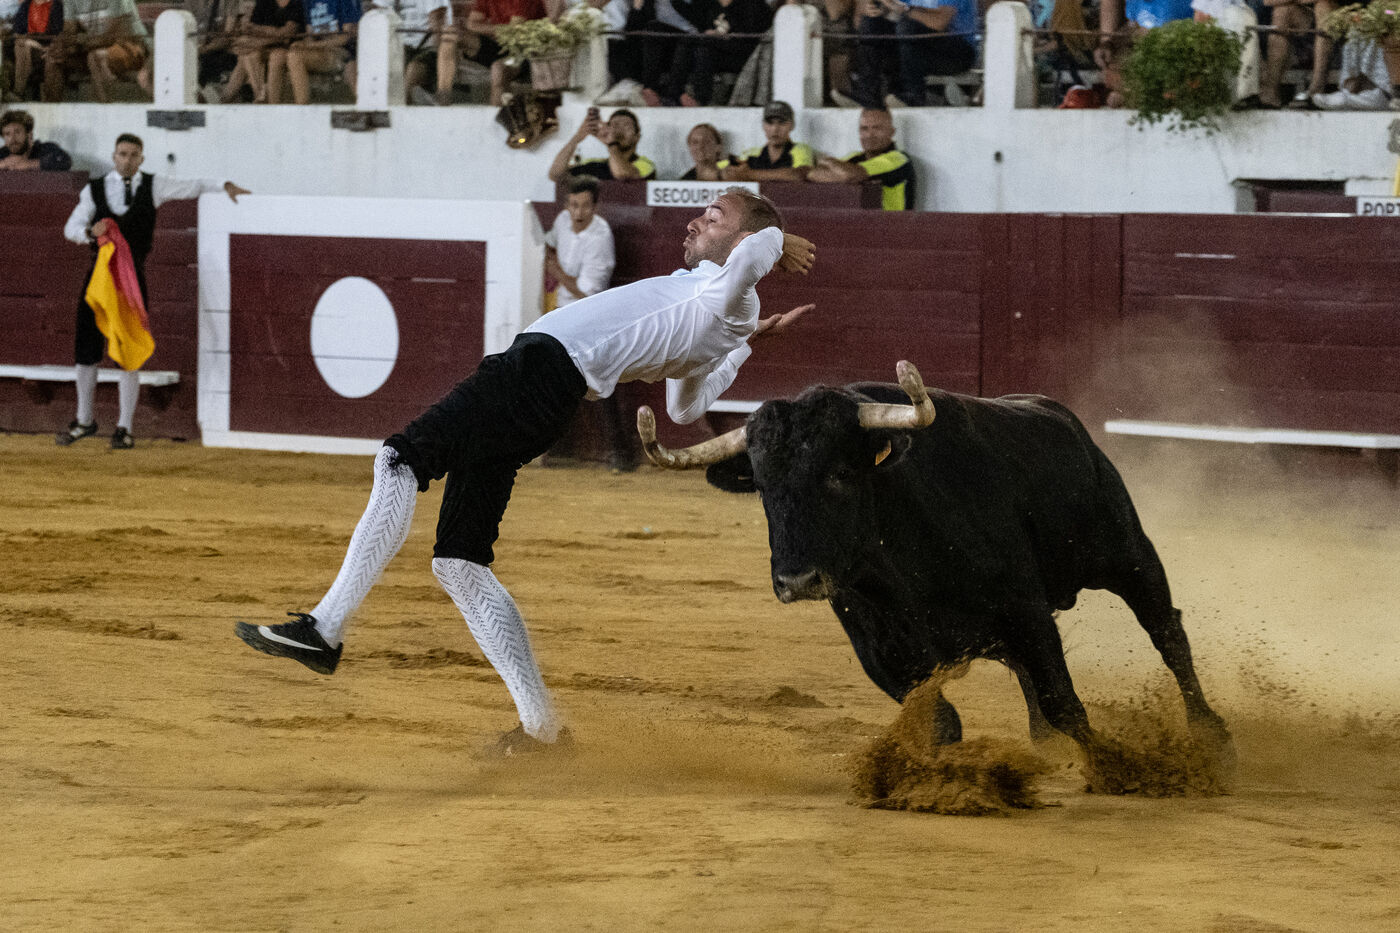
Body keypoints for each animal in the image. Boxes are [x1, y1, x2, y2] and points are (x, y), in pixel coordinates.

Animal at [636, 361, 1233, 767]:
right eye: (761, 485)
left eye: (839, 473)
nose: (795, 580)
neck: (899, 567)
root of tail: (1062, 419)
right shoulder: (879, 650)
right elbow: (941, 719)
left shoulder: (1027, 612)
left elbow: (1065, 701)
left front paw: (1114, 769)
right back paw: (1044, 744)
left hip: (1128, 554)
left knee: (1167, 633)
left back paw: (1212, 734)